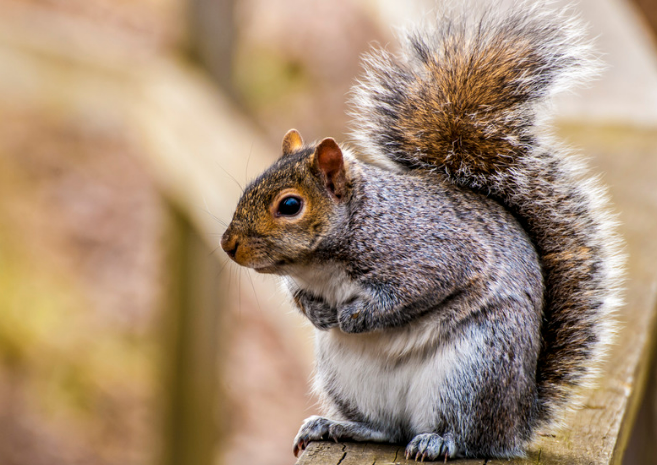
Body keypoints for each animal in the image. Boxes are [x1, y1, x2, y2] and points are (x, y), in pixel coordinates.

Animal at [221, 1, 624, 461]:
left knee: (467, 436)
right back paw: (335, 425)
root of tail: (517, 422)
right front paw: (318, 313)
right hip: (348, 379)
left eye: (290, 205)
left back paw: (437, 440)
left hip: (474, 369)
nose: (228, 245)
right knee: (385, 429)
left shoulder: (431, 254)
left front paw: (355, 315)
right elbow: (298, 296)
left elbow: (412, 293)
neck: (323, 262)